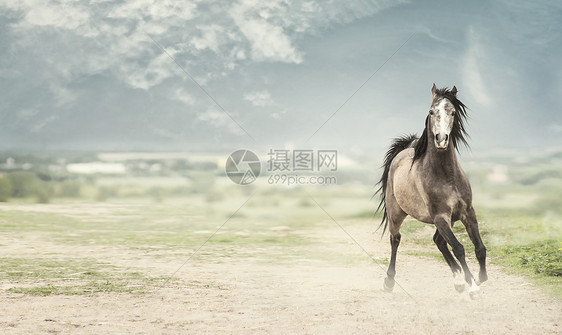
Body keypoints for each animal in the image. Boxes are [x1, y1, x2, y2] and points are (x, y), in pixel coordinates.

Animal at [376, 84, 486, 296]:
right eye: (431, 111)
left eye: (452, 112)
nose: (441, 139)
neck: (447, 177)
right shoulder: (440, 217)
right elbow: (459, 249)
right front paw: (473, 286)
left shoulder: (467, 212)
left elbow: (479, 248)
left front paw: (480, 278)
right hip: (396, 213)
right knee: (395, 239)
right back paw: (388, 281)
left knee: (439, 241)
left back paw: (457, 280)